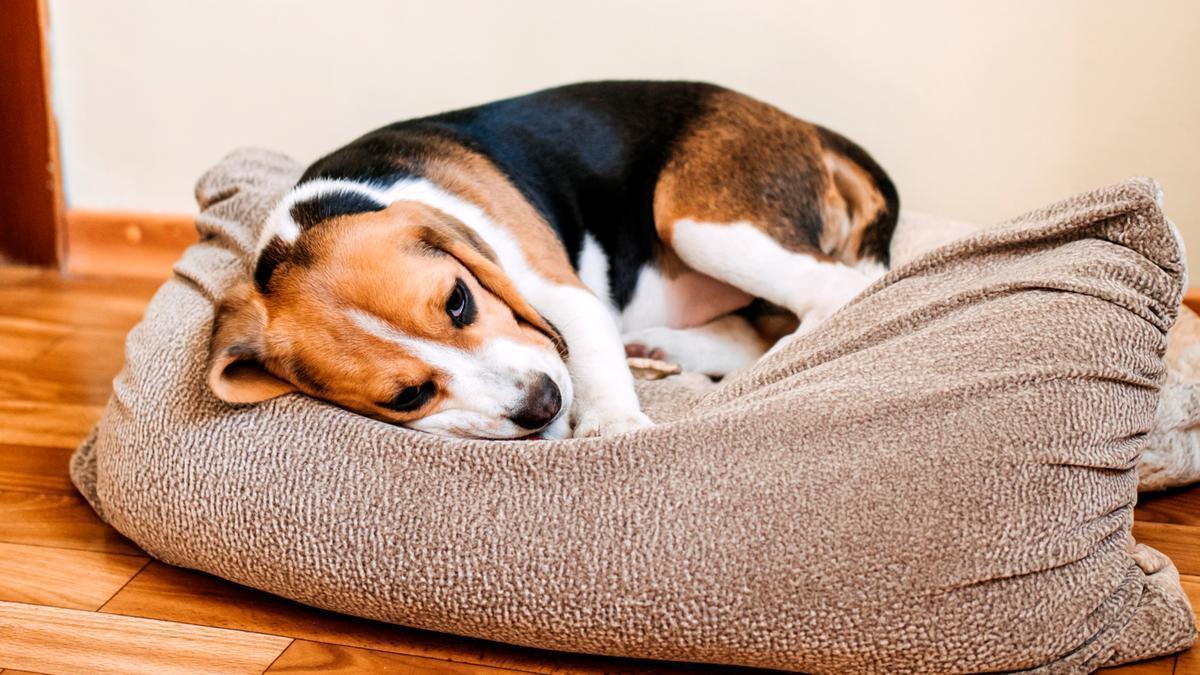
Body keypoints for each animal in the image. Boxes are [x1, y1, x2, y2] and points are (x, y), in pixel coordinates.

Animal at [208, 79, 902, 437]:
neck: (319, 213)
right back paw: (662, 350)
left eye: (457, 301)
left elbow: (588, 352)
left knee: (836, 292)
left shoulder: (562, 291)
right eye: (408, 397)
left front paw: (613, 426)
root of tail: (806, 127)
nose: (543, 405)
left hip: (699, 224)